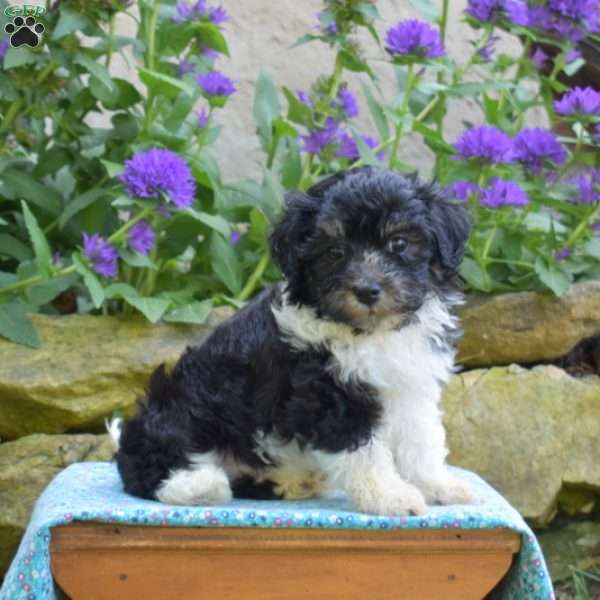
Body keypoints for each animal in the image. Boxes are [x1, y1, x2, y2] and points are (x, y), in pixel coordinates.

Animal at [111, 165, 474, 516]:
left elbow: (422, 441)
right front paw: (389, 497)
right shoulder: (328, 395)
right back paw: (201, 485)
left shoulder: (411, 386)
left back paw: (290, 481)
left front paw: (439, 486)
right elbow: (364, 452)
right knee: (150, 465)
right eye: (335, 252)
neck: (370, 331)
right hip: (181, 409)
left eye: (398, 243)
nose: (367, 290)